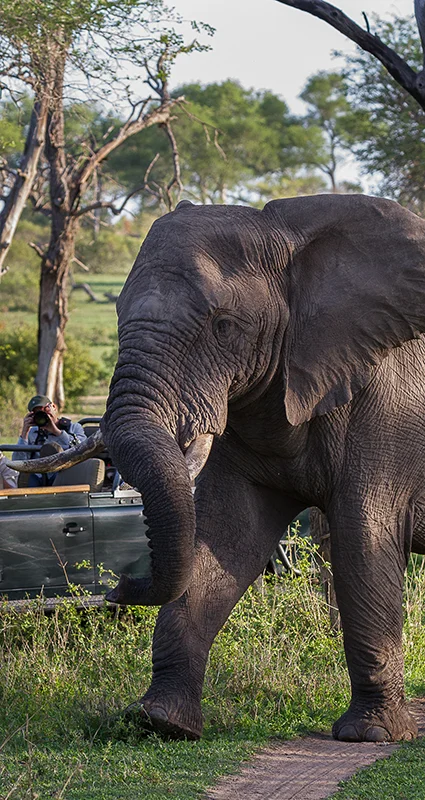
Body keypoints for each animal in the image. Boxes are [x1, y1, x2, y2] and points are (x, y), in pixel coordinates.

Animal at [10, 192, 425, 744]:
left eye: (224, 326)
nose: (118, 585)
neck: (289, 235)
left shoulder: (389, 408)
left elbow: (363, 538)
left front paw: (371, 736)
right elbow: (225, 536)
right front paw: (161, 721)